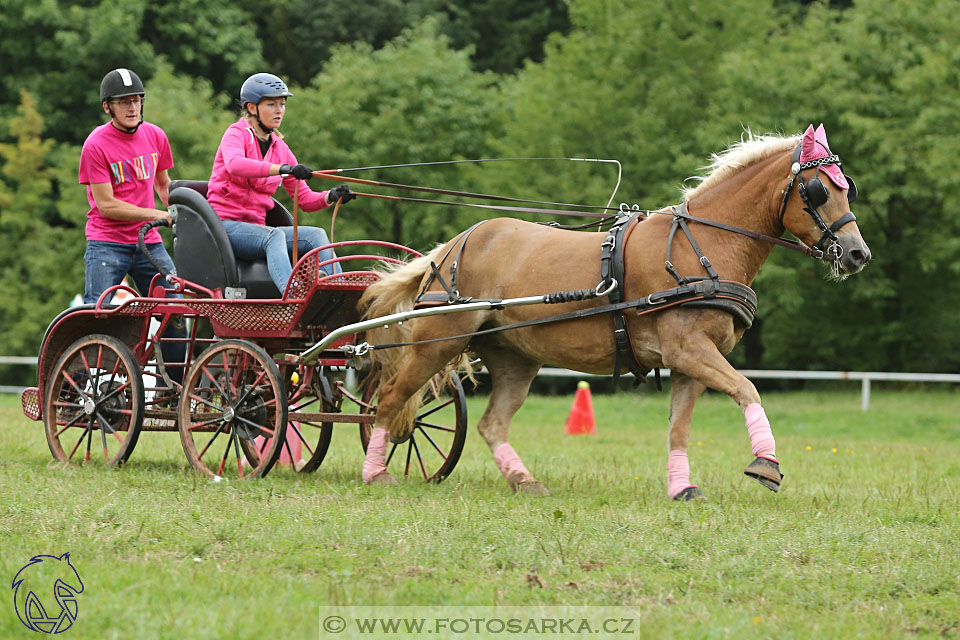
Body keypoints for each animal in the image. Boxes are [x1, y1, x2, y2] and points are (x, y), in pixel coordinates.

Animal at [358, 122, 872, 498]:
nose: (857, 254)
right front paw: (766, 463)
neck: (701, 246)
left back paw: (524, 481)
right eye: (818, 190)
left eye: (847, 189)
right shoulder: (690, 351)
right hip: (438, 340)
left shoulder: (689, 364)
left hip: (515, 358)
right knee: (391, 398)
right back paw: (375, 472)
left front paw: (682, 488)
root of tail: (455, 243)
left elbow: (679, 429)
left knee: (491, 423)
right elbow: (748, 390)